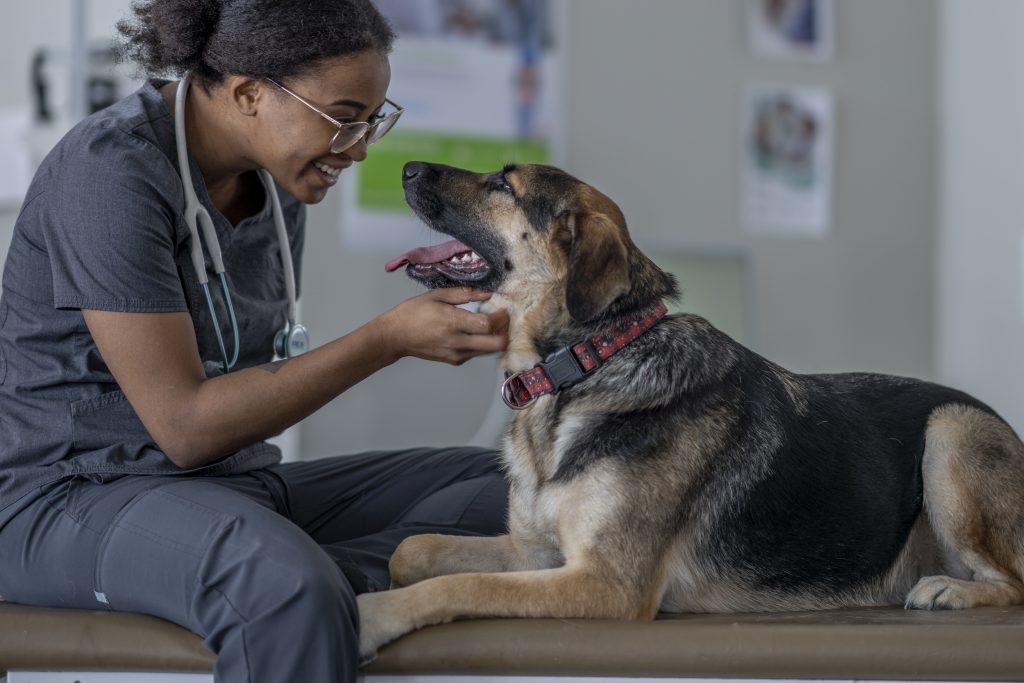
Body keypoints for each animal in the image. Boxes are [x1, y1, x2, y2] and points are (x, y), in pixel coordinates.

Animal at [356, 161, 1019, 663]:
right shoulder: (537, 554)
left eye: (503, 184)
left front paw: (372, 614)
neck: (588, 363)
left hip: (952, 429)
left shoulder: (606, 583)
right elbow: (412, 550)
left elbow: (459, 584)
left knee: (1013, 582)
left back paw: (950, 591)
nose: (407, 166)